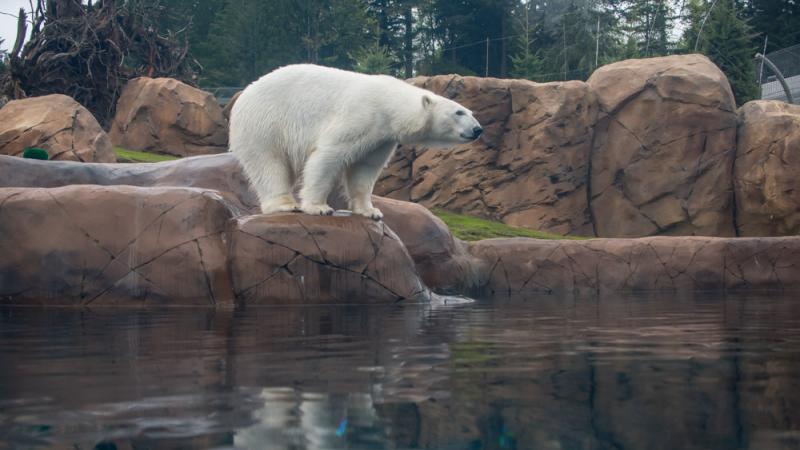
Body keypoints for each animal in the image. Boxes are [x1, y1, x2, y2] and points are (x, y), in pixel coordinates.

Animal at [228, 63, 484, 220]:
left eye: (470, 111)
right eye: (459, 112)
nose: (478, 129)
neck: (387, 103)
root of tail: (243, 96)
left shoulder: (382, 137)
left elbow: (365, 168)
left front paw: (370, 211)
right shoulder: (360, 115)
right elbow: (327, 156)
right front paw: (319, 207)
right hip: (265, 124)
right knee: (268, 164)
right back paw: (284, 204)